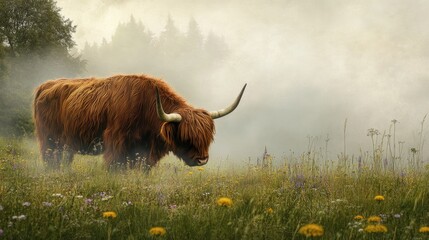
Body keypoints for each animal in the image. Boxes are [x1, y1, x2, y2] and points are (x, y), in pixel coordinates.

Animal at [32, 74, 246, 170]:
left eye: (207, 136)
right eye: (185, 136)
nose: (202, 160)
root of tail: (46, 84)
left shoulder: (145, 153)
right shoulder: (116, 144)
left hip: (66, 145)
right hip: (49, 141)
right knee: (50, 160)